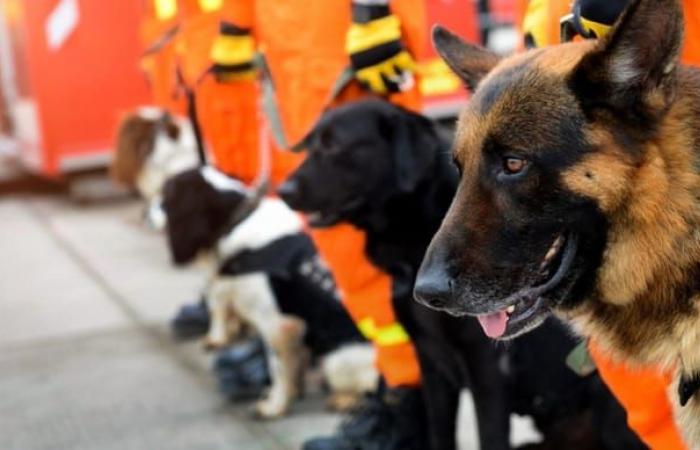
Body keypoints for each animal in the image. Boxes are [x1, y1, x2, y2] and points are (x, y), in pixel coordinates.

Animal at [161, 166, 378, 418]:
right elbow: (293, 365)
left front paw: (275, 406)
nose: (150, 211)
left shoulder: (276, 325)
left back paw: (346, 400)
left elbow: (279, 369)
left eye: (167, 193)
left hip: (336, 359)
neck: (238, 219)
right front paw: (292, 392)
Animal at [276, 99, 644, 450]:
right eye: (311, 144)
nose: (283, 191)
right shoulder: (432, 366)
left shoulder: (488, 370)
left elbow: (490, 437)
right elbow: (440, 433)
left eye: (335, 146)